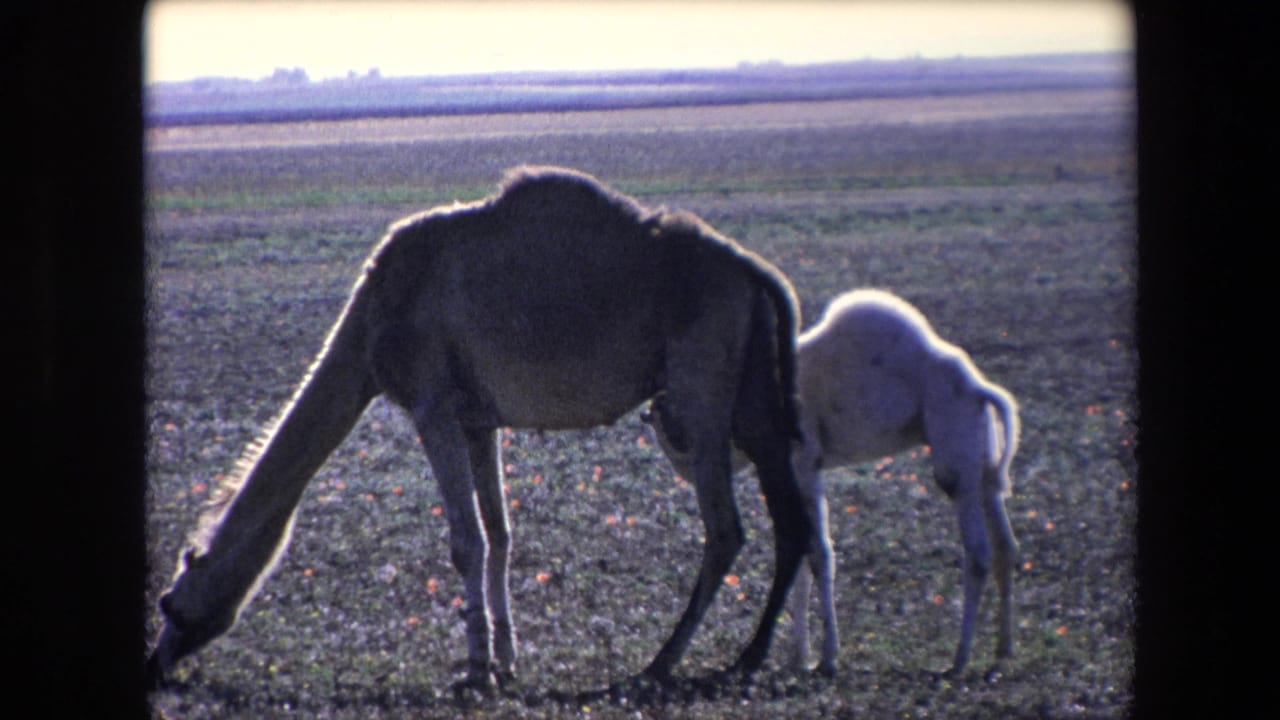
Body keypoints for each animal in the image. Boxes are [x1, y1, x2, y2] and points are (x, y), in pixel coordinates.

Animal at [145, 166, 812, 694]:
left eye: (171, 603)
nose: (157, 663)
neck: (369, 327)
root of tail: (760, 273)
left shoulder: (433, 405)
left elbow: (465, 540)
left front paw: (474, 669)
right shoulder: (478, 420)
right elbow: (500, 534)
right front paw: (505, 660)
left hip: (702, 392)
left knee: (726, 529)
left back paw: (662, 663)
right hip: (752, 392)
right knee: (791, 517)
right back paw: (749, 657)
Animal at [646, 288, 1020, 676]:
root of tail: (981, 389)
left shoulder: (804, 460)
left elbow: (819, 550)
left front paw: (826, 657)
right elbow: (805, 550)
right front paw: (800, 657)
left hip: (954, 452)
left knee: (977, 550)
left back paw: (959, 660)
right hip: (983, 461)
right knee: (1005, 544)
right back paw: (1001, 652)